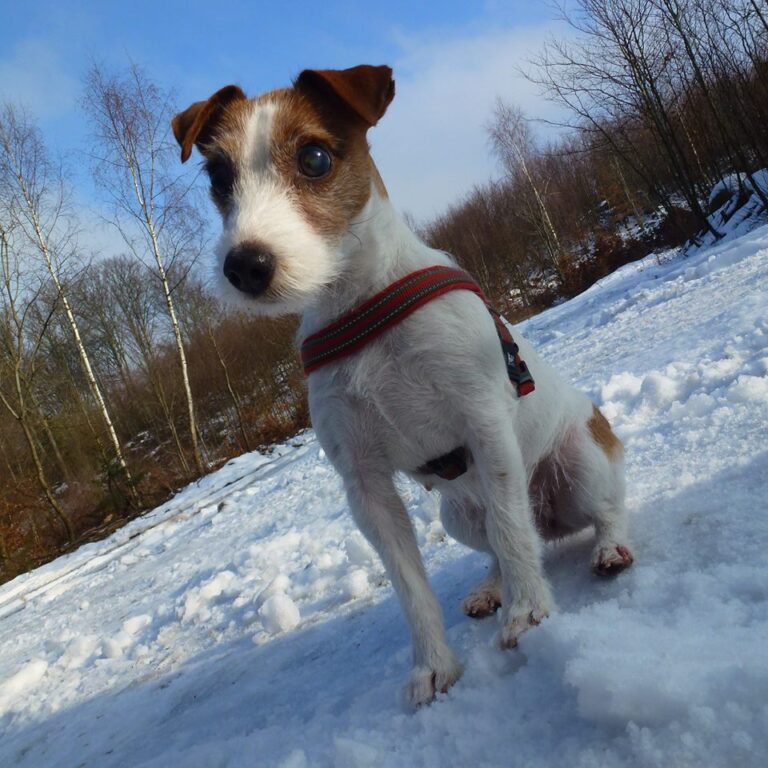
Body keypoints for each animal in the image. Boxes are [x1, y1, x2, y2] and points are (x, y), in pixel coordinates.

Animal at [174, 66, 636, 708]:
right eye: (219, 177)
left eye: (315, 158)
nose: (245, 265)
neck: (364, 310)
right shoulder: (365, 486)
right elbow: (412, 588)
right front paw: (434, 666)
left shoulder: (486, 428)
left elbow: (513, 531)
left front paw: (528, 611)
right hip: (457, 516)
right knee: (499, 541)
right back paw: (490, 587)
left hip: (580, 464)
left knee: (591, 512)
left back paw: (606, 548)